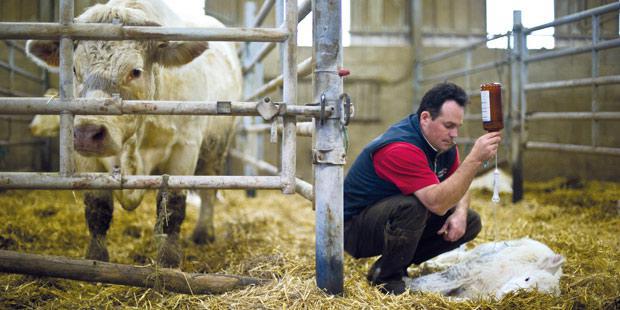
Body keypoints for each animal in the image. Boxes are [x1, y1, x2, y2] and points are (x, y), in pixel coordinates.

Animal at [27, 0, 243, 266]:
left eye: (135, 71)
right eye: (74, 69)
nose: (88, 133)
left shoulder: (185, 147)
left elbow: (172, 204)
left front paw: (168, 260)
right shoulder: (85, 158)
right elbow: (98, 207)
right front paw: (96, 258)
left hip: (216, 146)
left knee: (209, 189)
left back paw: (204, 232)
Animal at [404, 239, 564, 300]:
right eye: (527, 278)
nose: (511, 295)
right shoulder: (469, 269)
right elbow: (431, 282)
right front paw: (406, 283)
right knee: (455, 257)